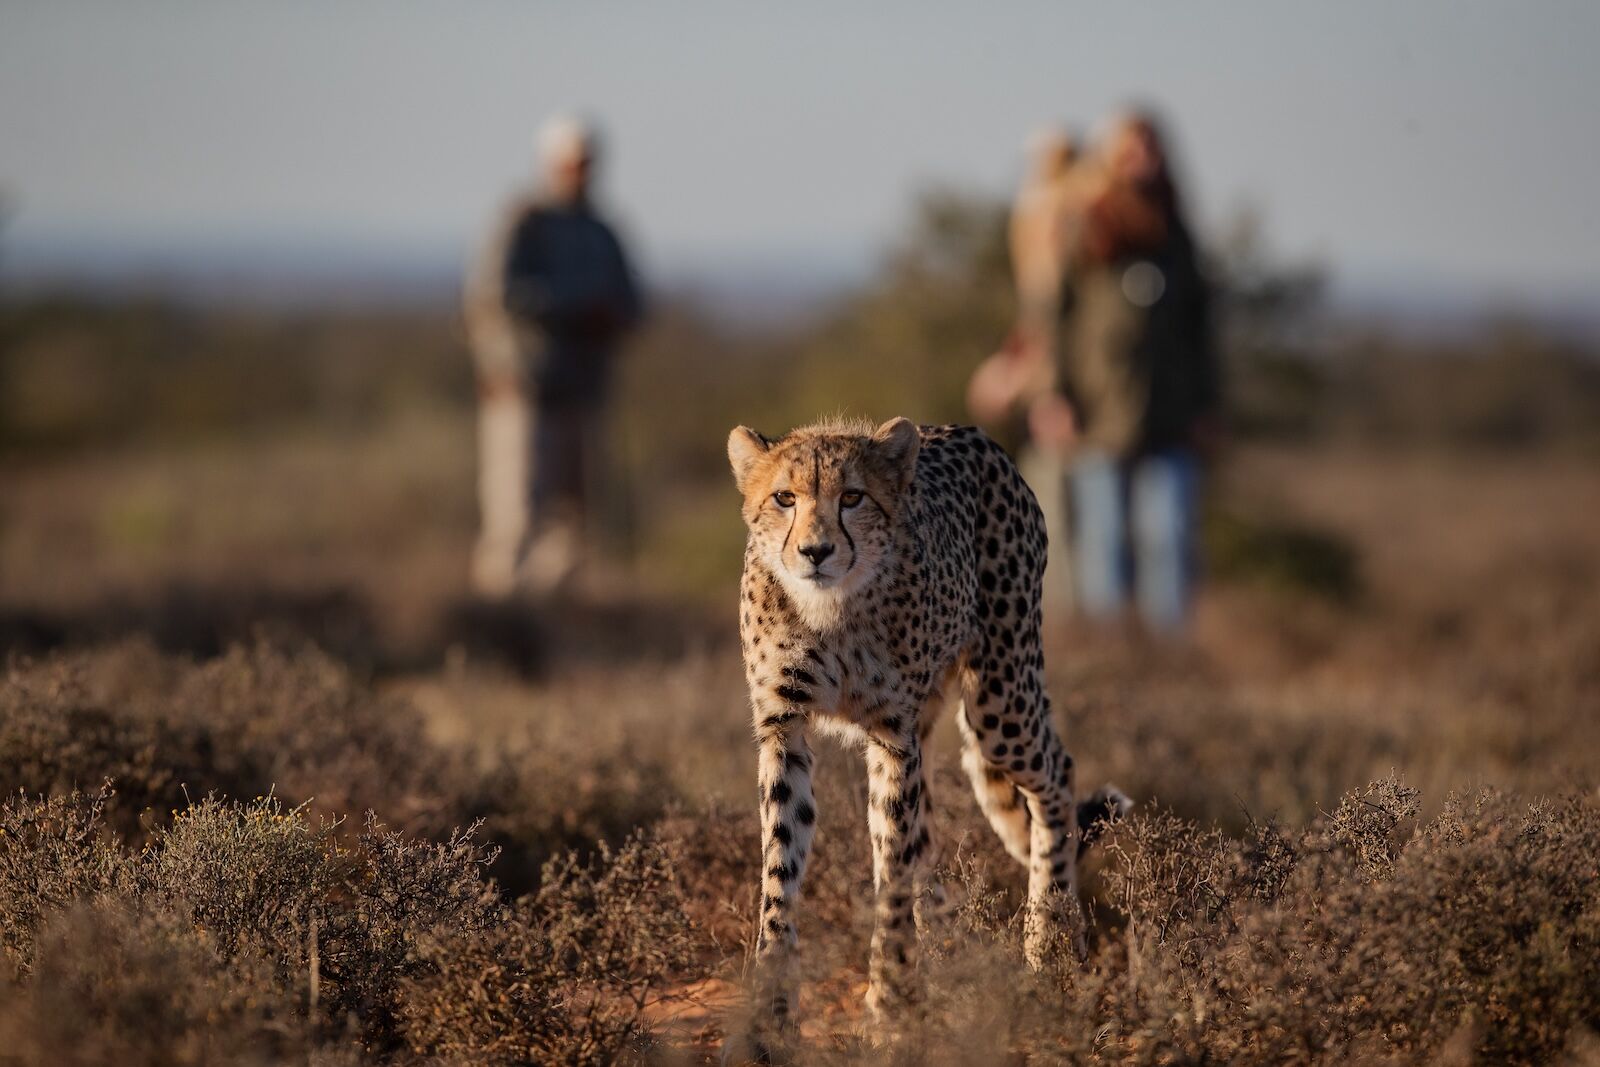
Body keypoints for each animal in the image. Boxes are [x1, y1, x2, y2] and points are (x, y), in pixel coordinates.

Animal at [726, 415, 1126, 1043]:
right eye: (784, 498)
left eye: (852, 498)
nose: (816, 551)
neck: (830, 608)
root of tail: (969, 432)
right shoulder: (784, 729)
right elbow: (780, 871)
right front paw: (771, 1016)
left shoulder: (893, 735)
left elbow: (891, 867)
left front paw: (890, 1000)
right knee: (930, 838)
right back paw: (946, 954)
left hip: (999, 700)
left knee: (1057, 774)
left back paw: (1049, 944)